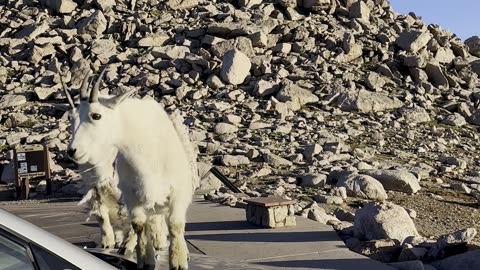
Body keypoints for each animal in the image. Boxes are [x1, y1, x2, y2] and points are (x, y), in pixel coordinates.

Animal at [66, 66, 196, 270]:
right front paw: (144, 261)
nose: (73, 151)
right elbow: (138, 226)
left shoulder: (178, 193)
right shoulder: (131, 197)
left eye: (96, 115)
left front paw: (178, 262)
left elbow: (175, 225)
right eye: (72, 117)